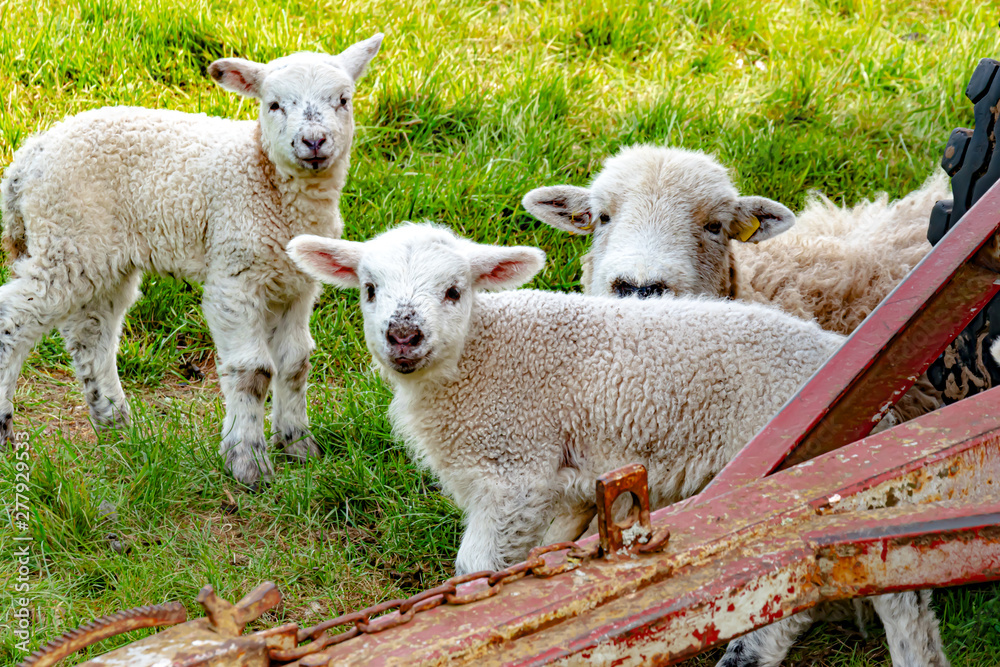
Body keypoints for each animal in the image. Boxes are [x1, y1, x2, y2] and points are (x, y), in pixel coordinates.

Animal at [0, 34, 383, 487]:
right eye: (273, 104)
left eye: (343, 100)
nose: (314, 141)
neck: (264, 178)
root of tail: (26, 158)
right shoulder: (234, 274)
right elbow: (254, 371)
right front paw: (247, 462)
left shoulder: (295, 283)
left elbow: (295, 363)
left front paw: (298, 446)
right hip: (66, 239)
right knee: (14, 319)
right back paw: (7, 428)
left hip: (100, 253)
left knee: (91, 334)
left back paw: (116, 426)